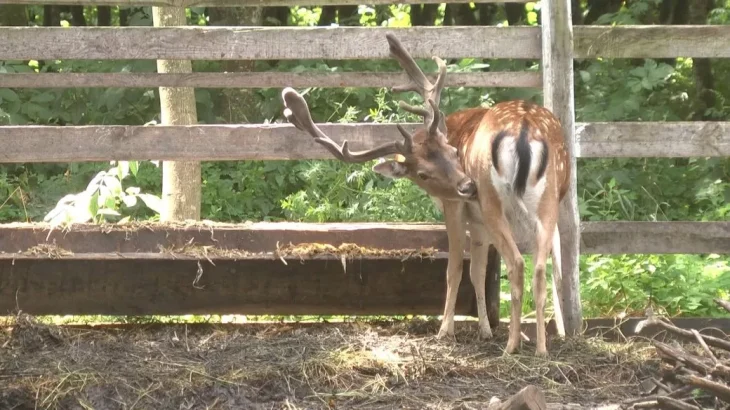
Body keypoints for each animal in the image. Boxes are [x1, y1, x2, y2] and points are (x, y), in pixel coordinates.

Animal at [280, 33, 570, 357]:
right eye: (422, 173)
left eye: (454, 152)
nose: (468, 187)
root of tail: (523, 129)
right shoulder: (478, 220)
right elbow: (479, 271)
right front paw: (484, 330)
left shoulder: (454, 206)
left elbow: (455, 268)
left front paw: (445, 330)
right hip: (549, 199)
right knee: (543, 268)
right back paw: (542, 348)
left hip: (494, 201)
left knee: (518, 264)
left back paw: (511, 346)